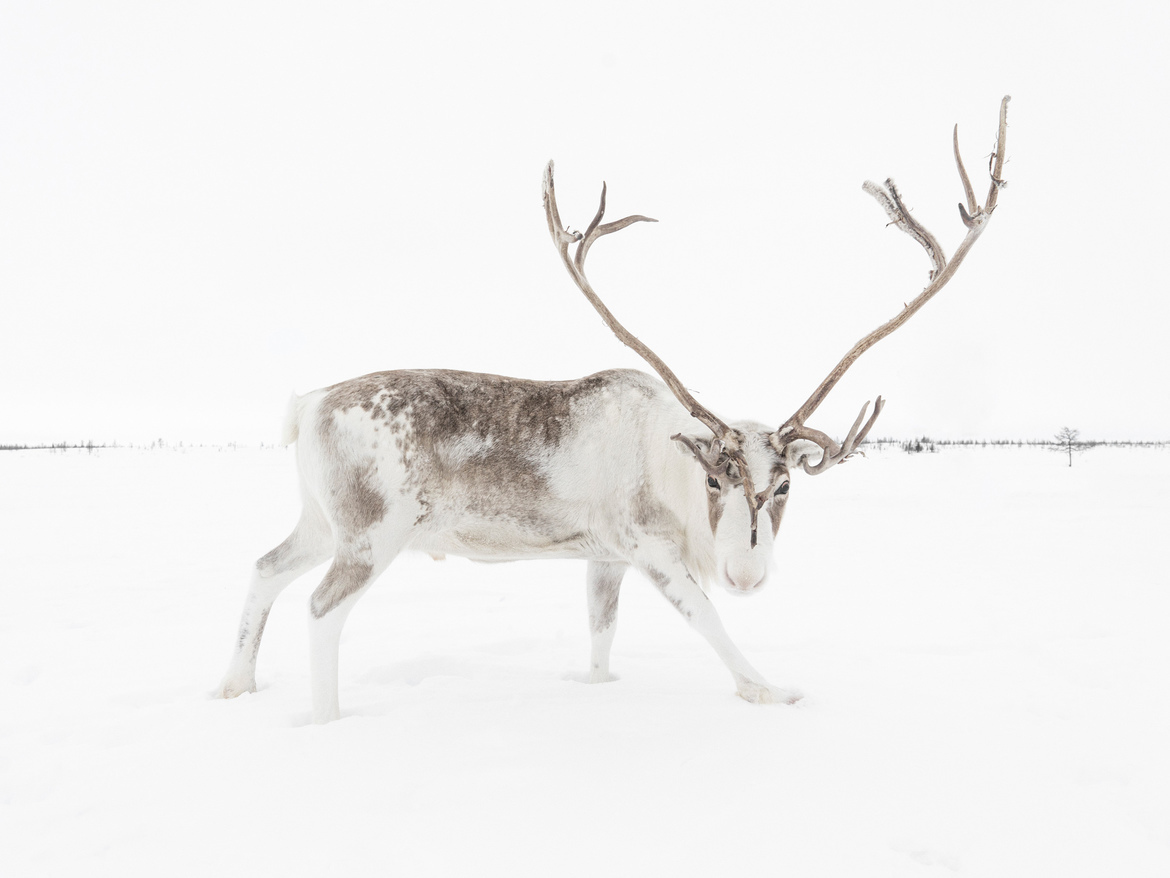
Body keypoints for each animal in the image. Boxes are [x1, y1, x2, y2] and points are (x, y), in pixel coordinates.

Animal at [218, 97, 1010, 723]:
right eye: (717, 479)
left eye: (785, 484)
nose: (747, 576)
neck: (671, 466)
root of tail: (307, 405)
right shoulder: (652, 548)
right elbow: (707, 621)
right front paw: (769, 689)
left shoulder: (603, 557)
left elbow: (601, 631)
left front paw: (597, 686)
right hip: (371, 532)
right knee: (321, 609)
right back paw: (327, 720)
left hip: (321, 521)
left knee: (263, 567)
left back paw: (234, 687)